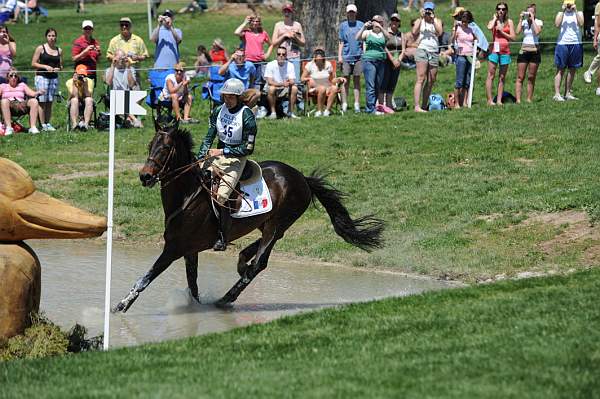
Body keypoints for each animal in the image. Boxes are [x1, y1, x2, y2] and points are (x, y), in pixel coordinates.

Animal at [112, 120, 384, 314]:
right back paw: (240, 265)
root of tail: (302, 178)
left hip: (277, 223)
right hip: (269, 224)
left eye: (166, 148)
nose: (145, 176)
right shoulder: (189, 251)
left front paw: (120, 306)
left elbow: (145, 278)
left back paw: (227, 298)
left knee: (259, 263)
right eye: (150, 146)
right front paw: (195, 308)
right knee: (254, 253)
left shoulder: (173, 249)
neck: (186, 195)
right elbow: (193, 285)